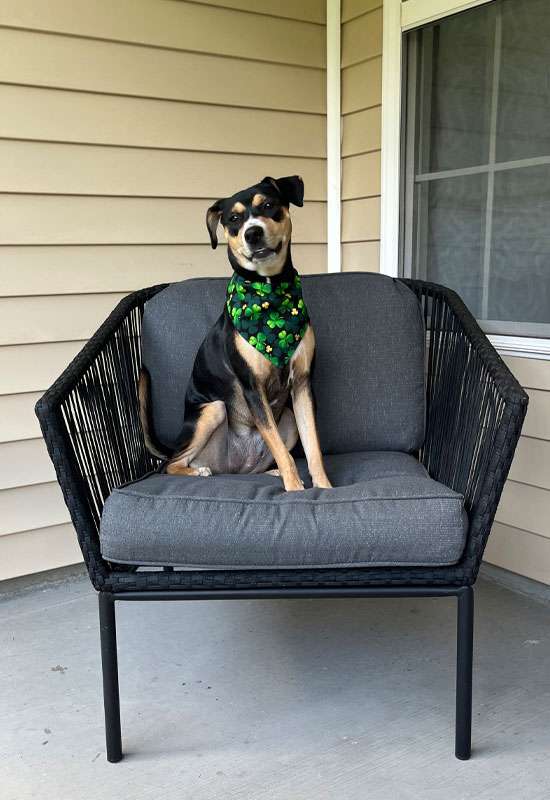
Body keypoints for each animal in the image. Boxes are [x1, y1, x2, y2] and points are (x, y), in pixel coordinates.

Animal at [141, 175, 332, 490]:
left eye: (268, 206)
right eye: (233, 219)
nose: (252, 233)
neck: (270, 293)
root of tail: (232, 466)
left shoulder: (304, 383)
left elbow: (312, 446)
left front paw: (323, 487)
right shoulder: (253, 388)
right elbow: (284, 452)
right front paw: (295, 489)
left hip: (287, 418)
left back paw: (270, 472)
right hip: (213, 410)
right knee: (170, 465)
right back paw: (197, 471)